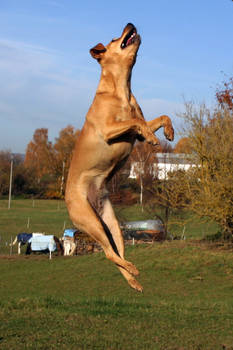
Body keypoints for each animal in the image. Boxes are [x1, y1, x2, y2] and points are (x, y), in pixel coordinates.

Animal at [64, 21, 174, 290]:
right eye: (115, 38)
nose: (130, 23)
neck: (121, 90)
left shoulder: (136, 126)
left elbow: (158, 117)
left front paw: (168, 131)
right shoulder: (108, 130)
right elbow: (136, 122)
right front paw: (153, 137)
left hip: (111, 225)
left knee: (116, 254)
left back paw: (133, 279)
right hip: (90, 221)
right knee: (108, 253)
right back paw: (132, 271)